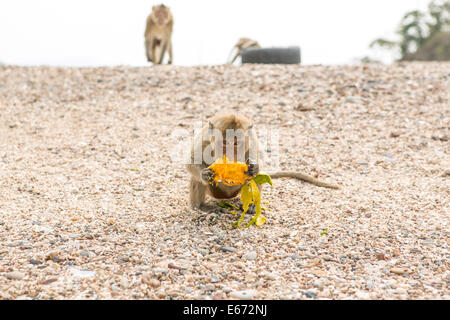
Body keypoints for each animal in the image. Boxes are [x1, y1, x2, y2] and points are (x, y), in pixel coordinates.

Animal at [187, 112, 342, 210]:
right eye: (225, 142)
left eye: (236, 143)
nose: (230, 153)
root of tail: (226, 197)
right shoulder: (204, 138)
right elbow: (192, 162)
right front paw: (205, 174)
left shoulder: (251, 138)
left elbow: (259, 161)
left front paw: (254, 167)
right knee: (196, 180)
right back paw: (202, 207)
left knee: (255, 178)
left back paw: (251, 205)